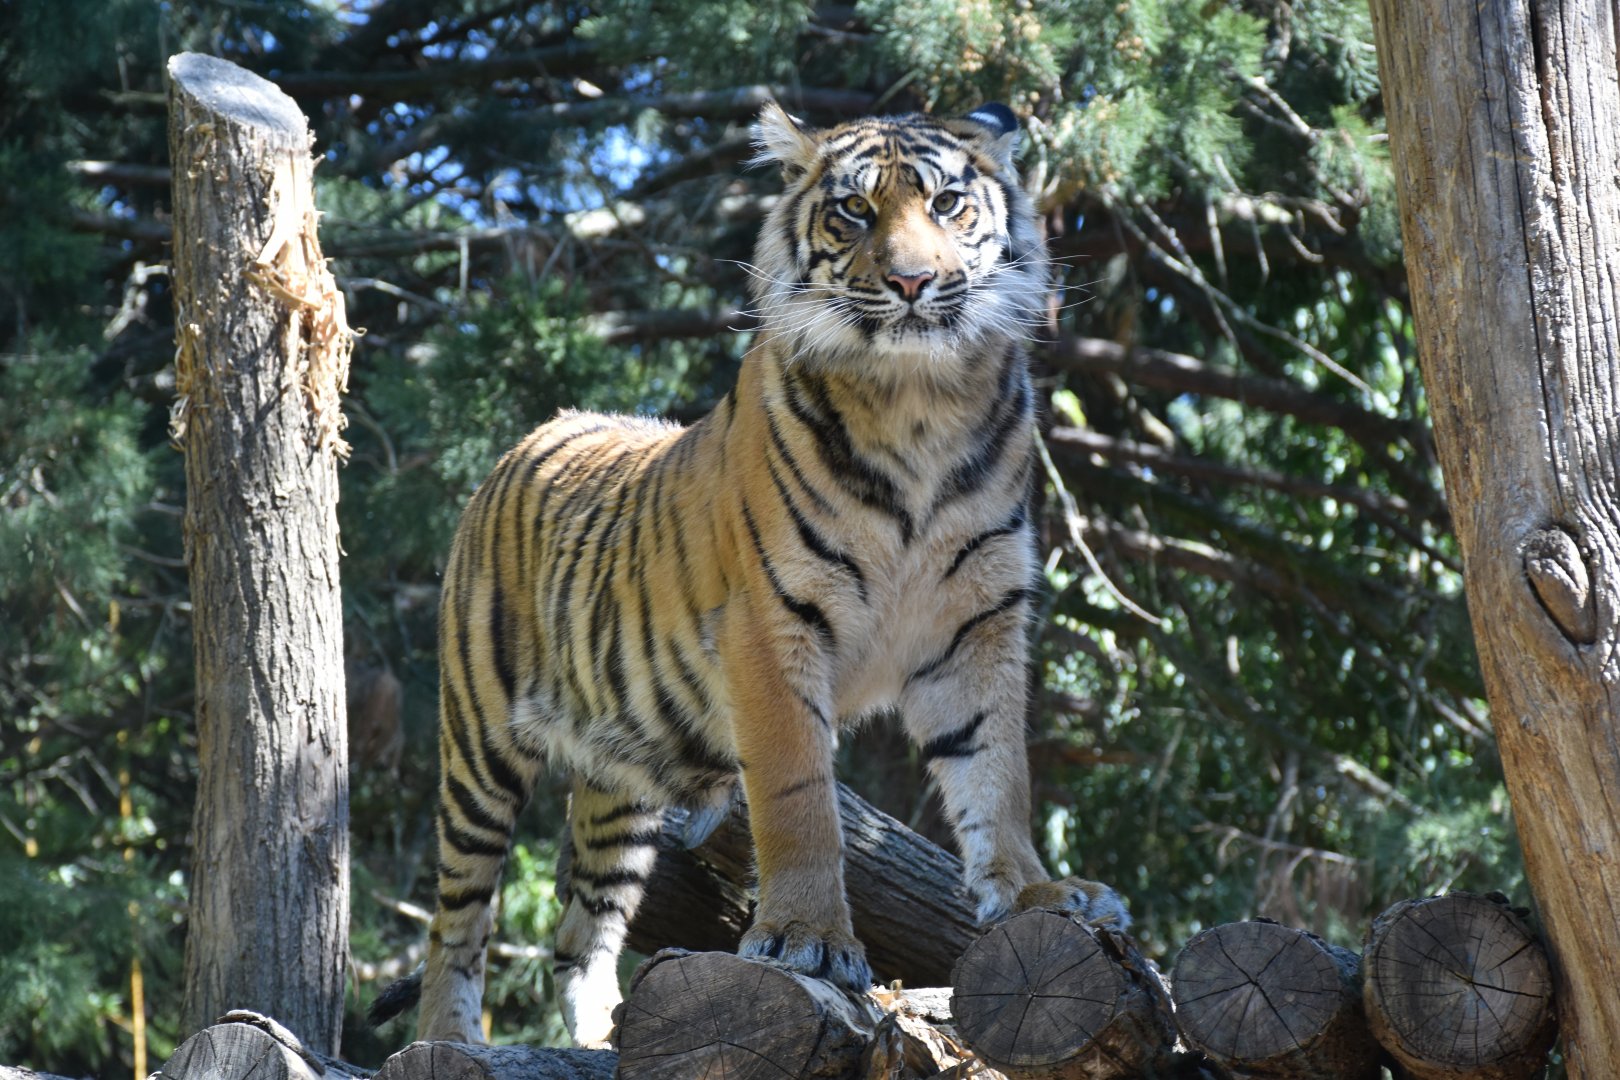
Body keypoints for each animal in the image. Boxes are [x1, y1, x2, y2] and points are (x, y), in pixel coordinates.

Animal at [369, 101, 1130, 1048]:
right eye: (853, 211)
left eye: (948, 203)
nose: (913, 282)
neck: (921, 402)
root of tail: (531, 435)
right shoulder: (773, 624)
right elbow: (799, 795)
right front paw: (809, 940)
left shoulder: (978, 623)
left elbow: (996, 771)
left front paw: (1037, 893)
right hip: (479, 749)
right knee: (458, 919)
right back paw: (446, 1038)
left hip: (621, 788)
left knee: (583, 929)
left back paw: (609, 1032)